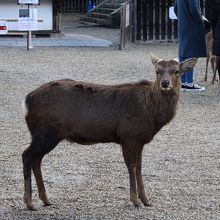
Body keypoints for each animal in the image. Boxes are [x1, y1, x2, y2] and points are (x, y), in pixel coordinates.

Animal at [22, 52, 197, 210]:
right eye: (157, 71)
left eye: (177, 71)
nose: (165, 83)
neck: (152, 116)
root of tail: (27, 101)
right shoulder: (129, 136)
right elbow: (132, 166)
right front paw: (135, 200)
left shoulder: (140, 140)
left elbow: (140, 166)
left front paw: (146, 200)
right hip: (45, 133)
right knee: (27, 156)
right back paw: (30, 203)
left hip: (44, 135)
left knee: (36, 160)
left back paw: (45, 200)